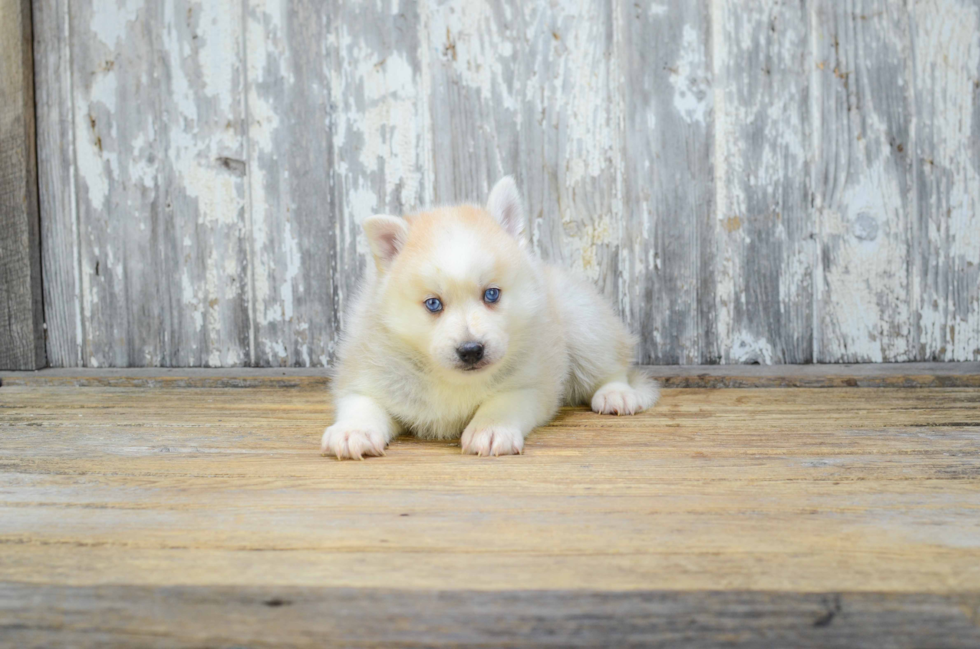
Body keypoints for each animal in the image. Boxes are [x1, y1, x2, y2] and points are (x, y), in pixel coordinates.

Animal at [322, 176, 660, 460]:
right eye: (433, 303)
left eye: (492, 294)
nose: (471, 350)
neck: (452, 381)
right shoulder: (365, 376)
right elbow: (361, 403)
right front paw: (353, 431)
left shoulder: (530, 384)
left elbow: (501, 403)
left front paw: (491, 429)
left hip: (584, 323)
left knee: (612, 367)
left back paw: (616, 394)